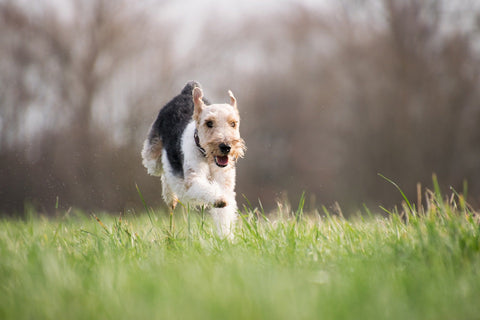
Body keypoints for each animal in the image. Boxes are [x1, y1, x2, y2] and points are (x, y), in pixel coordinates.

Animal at [141, 81, 246, 239]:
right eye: (209, 123)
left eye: (233, 123)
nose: (226, 147)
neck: (207, 158)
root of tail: (186, 91)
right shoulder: (193, 179)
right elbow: (206, 189)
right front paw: (218, 200)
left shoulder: (225, 184)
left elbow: (224, 214)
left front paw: (226, 238)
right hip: (152, 159)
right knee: (164, 171)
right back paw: (170, 197)